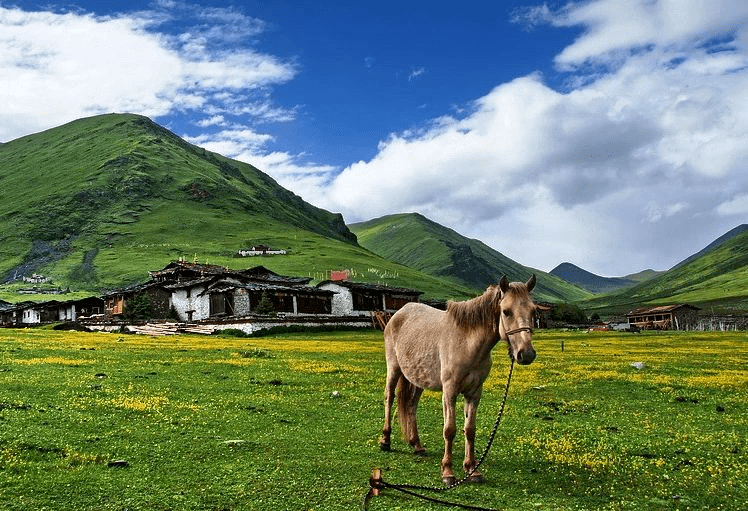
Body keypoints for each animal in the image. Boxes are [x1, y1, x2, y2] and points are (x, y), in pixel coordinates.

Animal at [380, 276, 536, 484]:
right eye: (506, 311)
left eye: (533, 310)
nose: (526, 354)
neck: (467, 344)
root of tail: (399, 314)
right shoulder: (450, 392)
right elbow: (449, 430)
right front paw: (447, 472)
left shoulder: (474, 393)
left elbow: (469, 430)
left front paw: (472, 469)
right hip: (394, 369)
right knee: (389, 398)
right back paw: (385, 441)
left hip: (417, 379)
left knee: (411, 405)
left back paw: (416, 445)